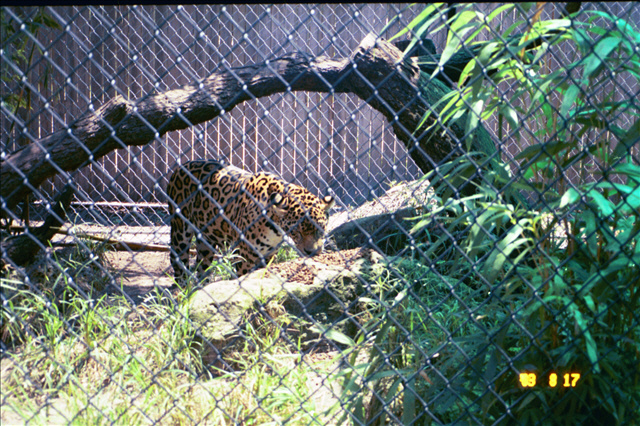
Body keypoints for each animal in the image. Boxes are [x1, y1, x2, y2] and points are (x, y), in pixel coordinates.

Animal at [166, 159, 334, 284]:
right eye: (297, 231)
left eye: (321, 229)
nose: (312, 252)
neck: (275, 230)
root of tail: (181, 166)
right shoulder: (244, 256)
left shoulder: (269, 255)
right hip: (180, 230)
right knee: (178, 262)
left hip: (206, 239)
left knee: (202, 265)